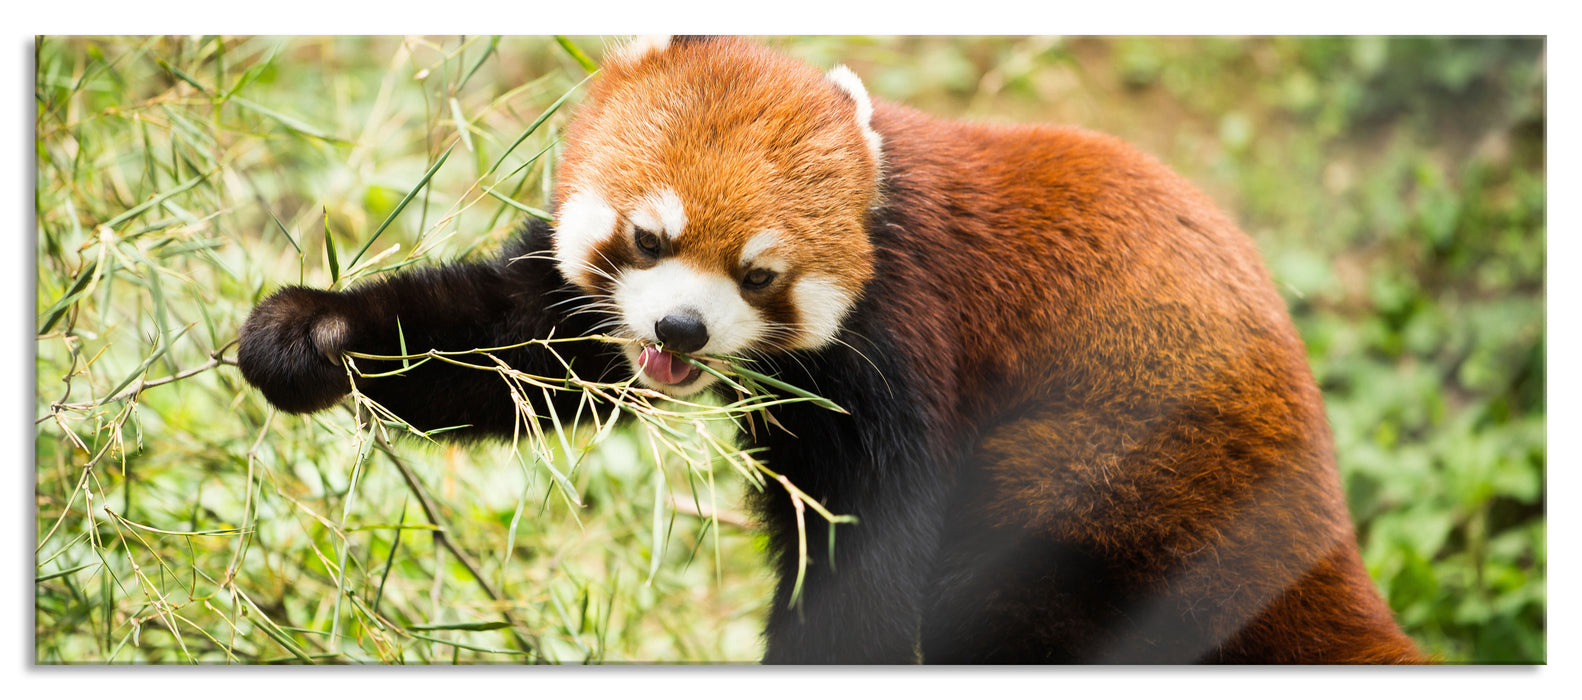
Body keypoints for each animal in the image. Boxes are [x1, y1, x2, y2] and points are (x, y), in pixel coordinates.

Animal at [238, 36, 1424, 664]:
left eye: (759, 273)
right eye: (650, 239)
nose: (679, 329)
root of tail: (1320, 522)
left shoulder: (904, 343)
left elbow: (862, 565)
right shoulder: (591, 312)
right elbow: (519, 349)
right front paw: (312, 335)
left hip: (1114, 479)